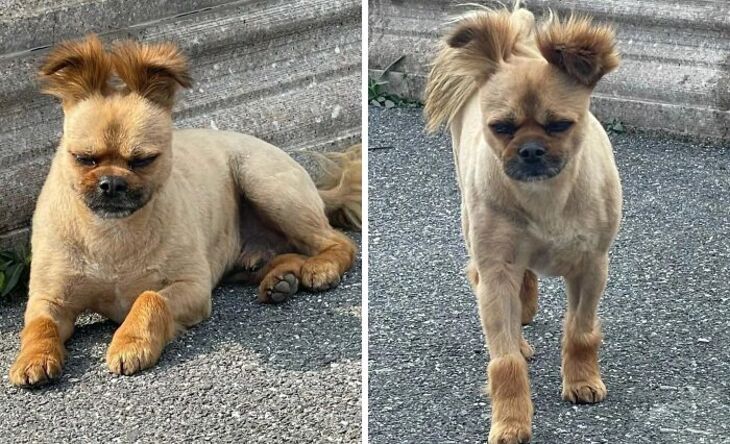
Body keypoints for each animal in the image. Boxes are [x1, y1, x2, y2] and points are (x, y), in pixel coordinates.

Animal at [5, 35, 358, 386]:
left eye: (143, 161)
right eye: (84, 159)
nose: (112, 183)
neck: (113, 233)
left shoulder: (192, 287)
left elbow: (151, 298)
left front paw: (131, 342)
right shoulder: (49, 300)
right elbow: (38, 325)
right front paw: (35, 357)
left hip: (264, 184)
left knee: (338, 242)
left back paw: (320, 267)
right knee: (286, 255)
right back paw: (281, 279)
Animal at [424, 4, 624, 444]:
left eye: (559, 125)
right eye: (501, 127)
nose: (531, 150)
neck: (545, 197)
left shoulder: (592, 267)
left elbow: (581, 331)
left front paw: (581, 380)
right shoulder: (497, 271)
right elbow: (504, 360)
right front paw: (512, 420)